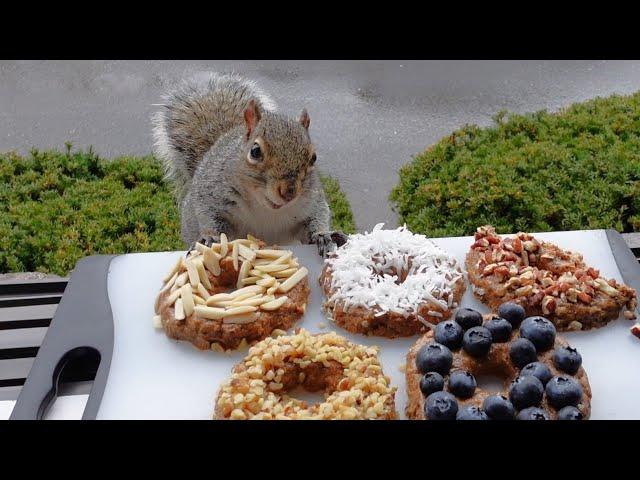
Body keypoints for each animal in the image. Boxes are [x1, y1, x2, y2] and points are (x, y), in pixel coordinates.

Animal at [153, 71, 348, 256]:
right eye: (255, 151)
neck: (265, 208)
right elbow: (210, 218)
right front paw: (210, 239)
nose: (289, 192)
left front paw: (322, 236)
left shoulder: (311, 203)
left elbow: (316, 219)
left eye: (313, 157)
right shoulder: (210, 194)